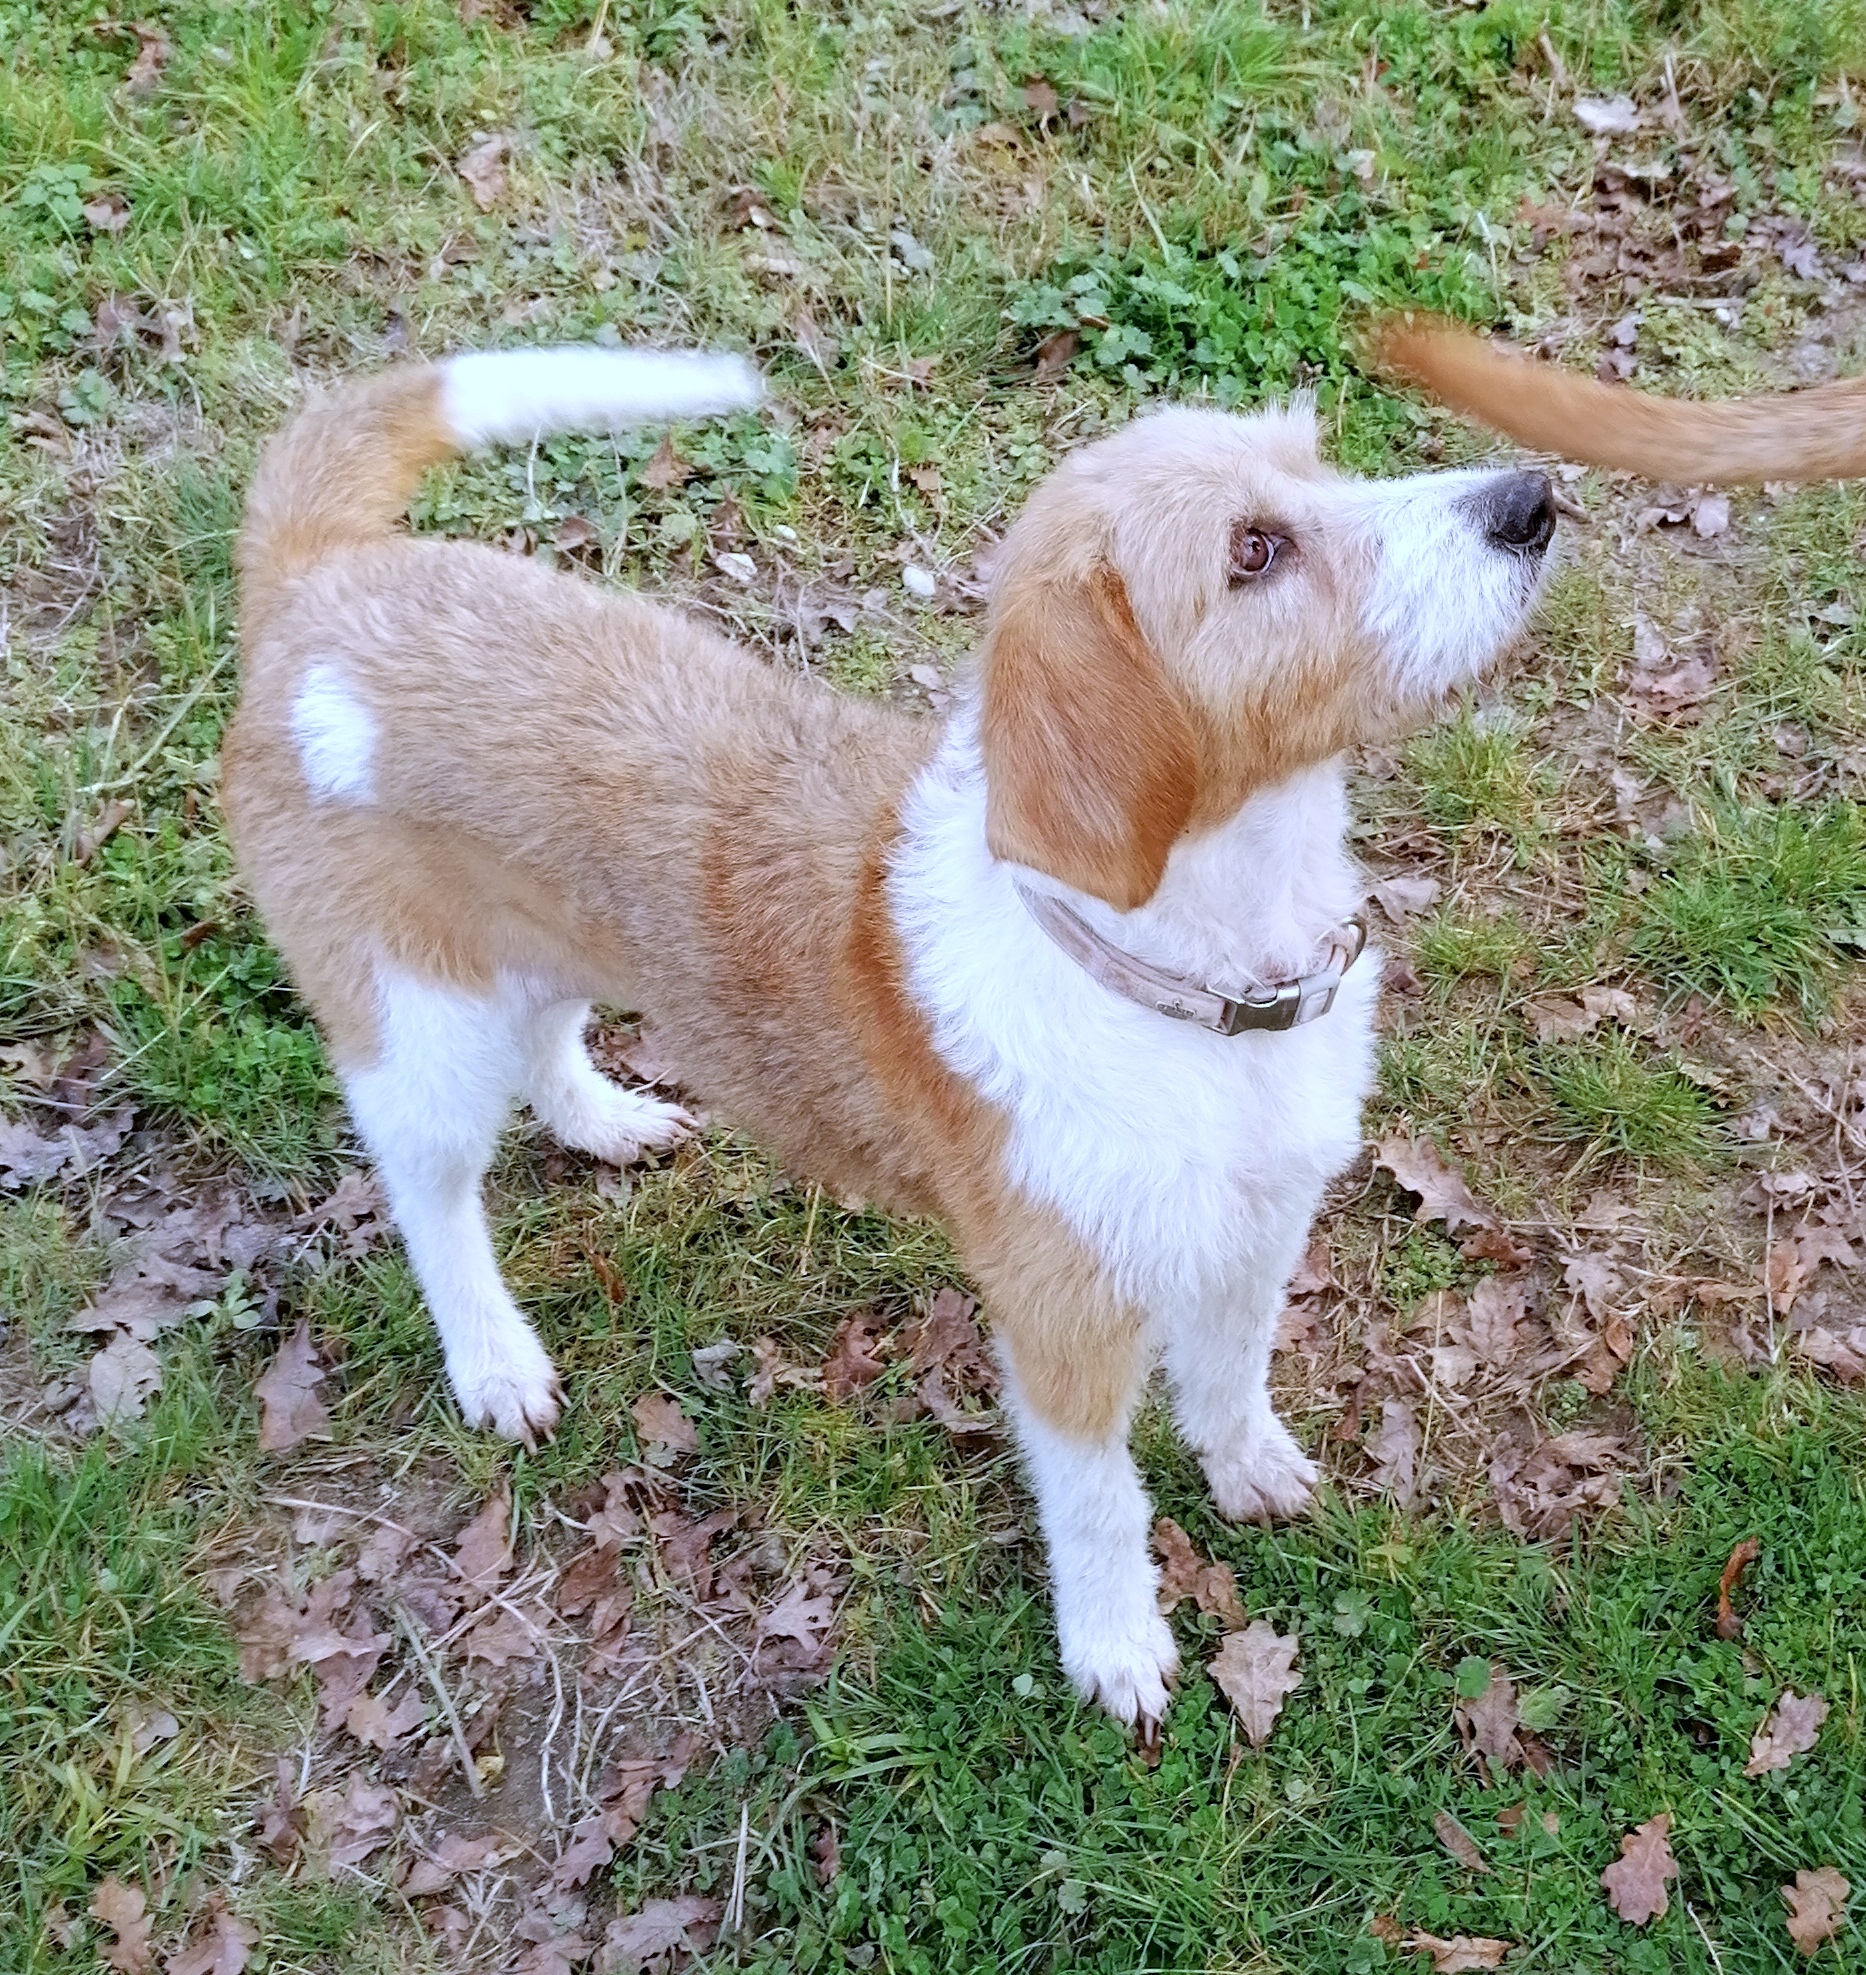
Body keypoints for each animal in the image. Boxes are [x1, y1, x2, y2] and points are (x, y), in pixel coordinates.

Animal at [223, 344, 1554, 1727]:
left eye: (1319, 466)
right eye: (1254, 550)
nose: (1533, 500)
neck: (1200, 984)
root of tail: (317, 581)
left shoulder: (1260, 1225)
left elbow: (1232, 1374)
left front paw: (1248, 1468)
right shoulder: (1064, 1320)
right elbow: (1099, 1502)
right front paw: (1116, 1648)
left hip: (538, 949)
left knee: (546, 1039)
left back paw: (604, 1121)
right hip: (418, 1032)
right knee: (432, 1201)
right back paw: (495, 1365)